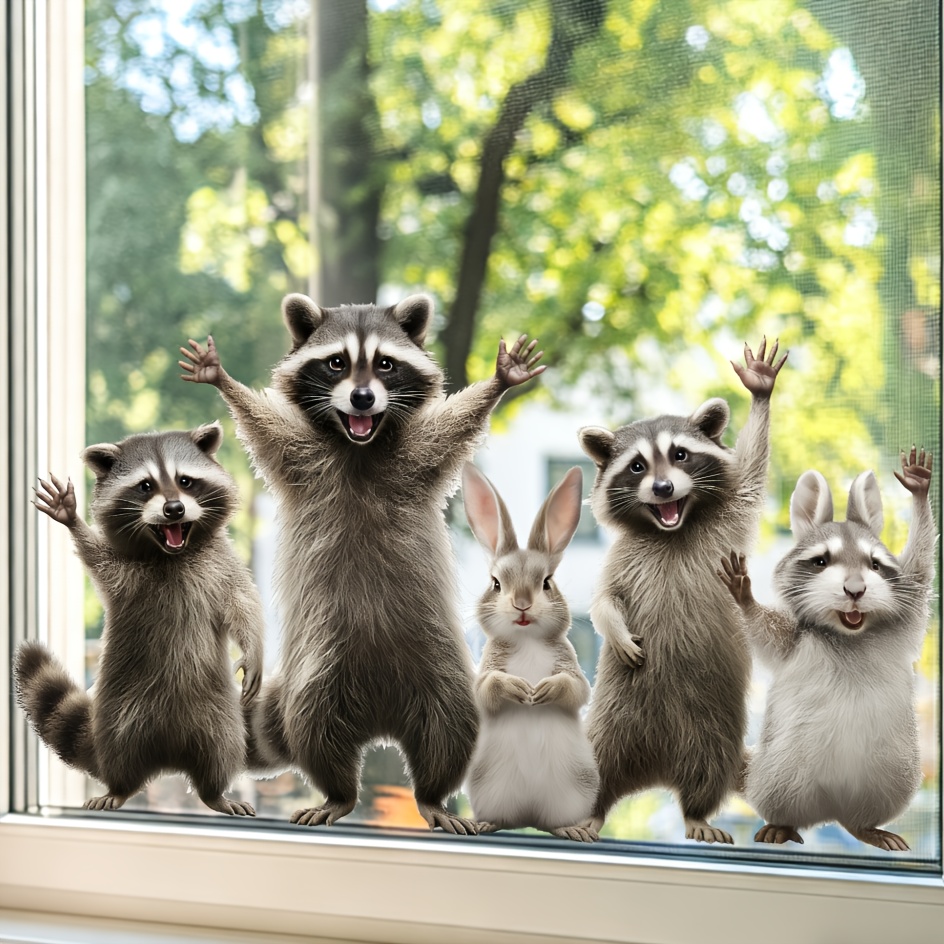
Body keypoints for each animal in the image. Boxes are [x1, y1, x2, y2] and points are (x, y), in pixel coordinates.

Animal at [14, 423, 265, 815]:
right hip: (119, 715)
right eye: (145, 486)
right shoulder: (125, 574)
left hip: (220, 716)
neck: (170, 552)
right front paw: (73, 521)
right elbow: (97, 559)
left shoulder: (221, 563)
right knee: (121, 754)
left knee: (222, 749)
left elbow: (243, 604)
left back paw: (215, 793)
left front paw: (254, 652)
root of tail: (170, 756)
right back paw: (120, 788)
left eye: (185, 481)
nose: (174, 509)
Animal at [180, 294, 543, 833]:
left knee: (453, 726)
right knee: (314, 724)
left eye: (385, 364)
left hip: (436, 662)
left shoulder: (417, 456)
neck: (360, 444)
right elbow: (262, 423)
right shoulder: (300, 457)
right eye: (336, 363)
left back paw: (431, 796)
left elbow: (454, 425)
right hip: (322, 664)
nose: (363, 399)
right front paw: (221, 378)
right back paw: (340, 793)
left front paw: (500, 380)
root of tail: (380, 721)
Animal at [461, 462, 600, 842]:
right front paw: (518, 688)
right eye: (496, 583)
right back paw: (485, 824)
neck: (527, 640)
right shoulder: (488, 668)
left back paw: (571, 829)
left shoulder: (570, 663)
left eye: (547, 582)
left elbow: (576, 688)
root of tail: (530, 818)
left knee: (554, 823)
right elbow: (486, 689)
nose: (522, 604)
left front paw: (546, 689)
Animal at [578, 339, 787, 843]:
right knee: (597, 761)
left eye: (680, 455)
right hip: (612, 717)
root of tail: (657, 770)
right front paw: (614, 628)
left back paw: (696, 812)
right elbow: (604, 599)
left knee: (707, 768)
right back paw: (593, 807)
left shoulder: (730, 517)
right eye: (637, 466)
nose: (663, 487)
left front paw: (760, 391)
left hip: (713, 729)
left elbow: (752, 466)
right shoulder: (622, 556)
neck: (672, 526)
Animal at [718, 447, 936, 851]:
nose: (855, 590)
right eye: (821, 561)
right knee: (782, 794)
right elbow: (762, 632)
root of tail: (833, 810)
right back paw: (783, 823)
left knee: (872, 806)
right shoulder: (794, 641)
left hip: (894, 771)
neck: (848, 633)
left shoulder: (904, 617)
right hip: (782, 769)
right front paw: (746, 600)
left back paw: (866, 827)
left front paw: (918, 495)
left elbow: (920, 568)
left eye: (874, 564)